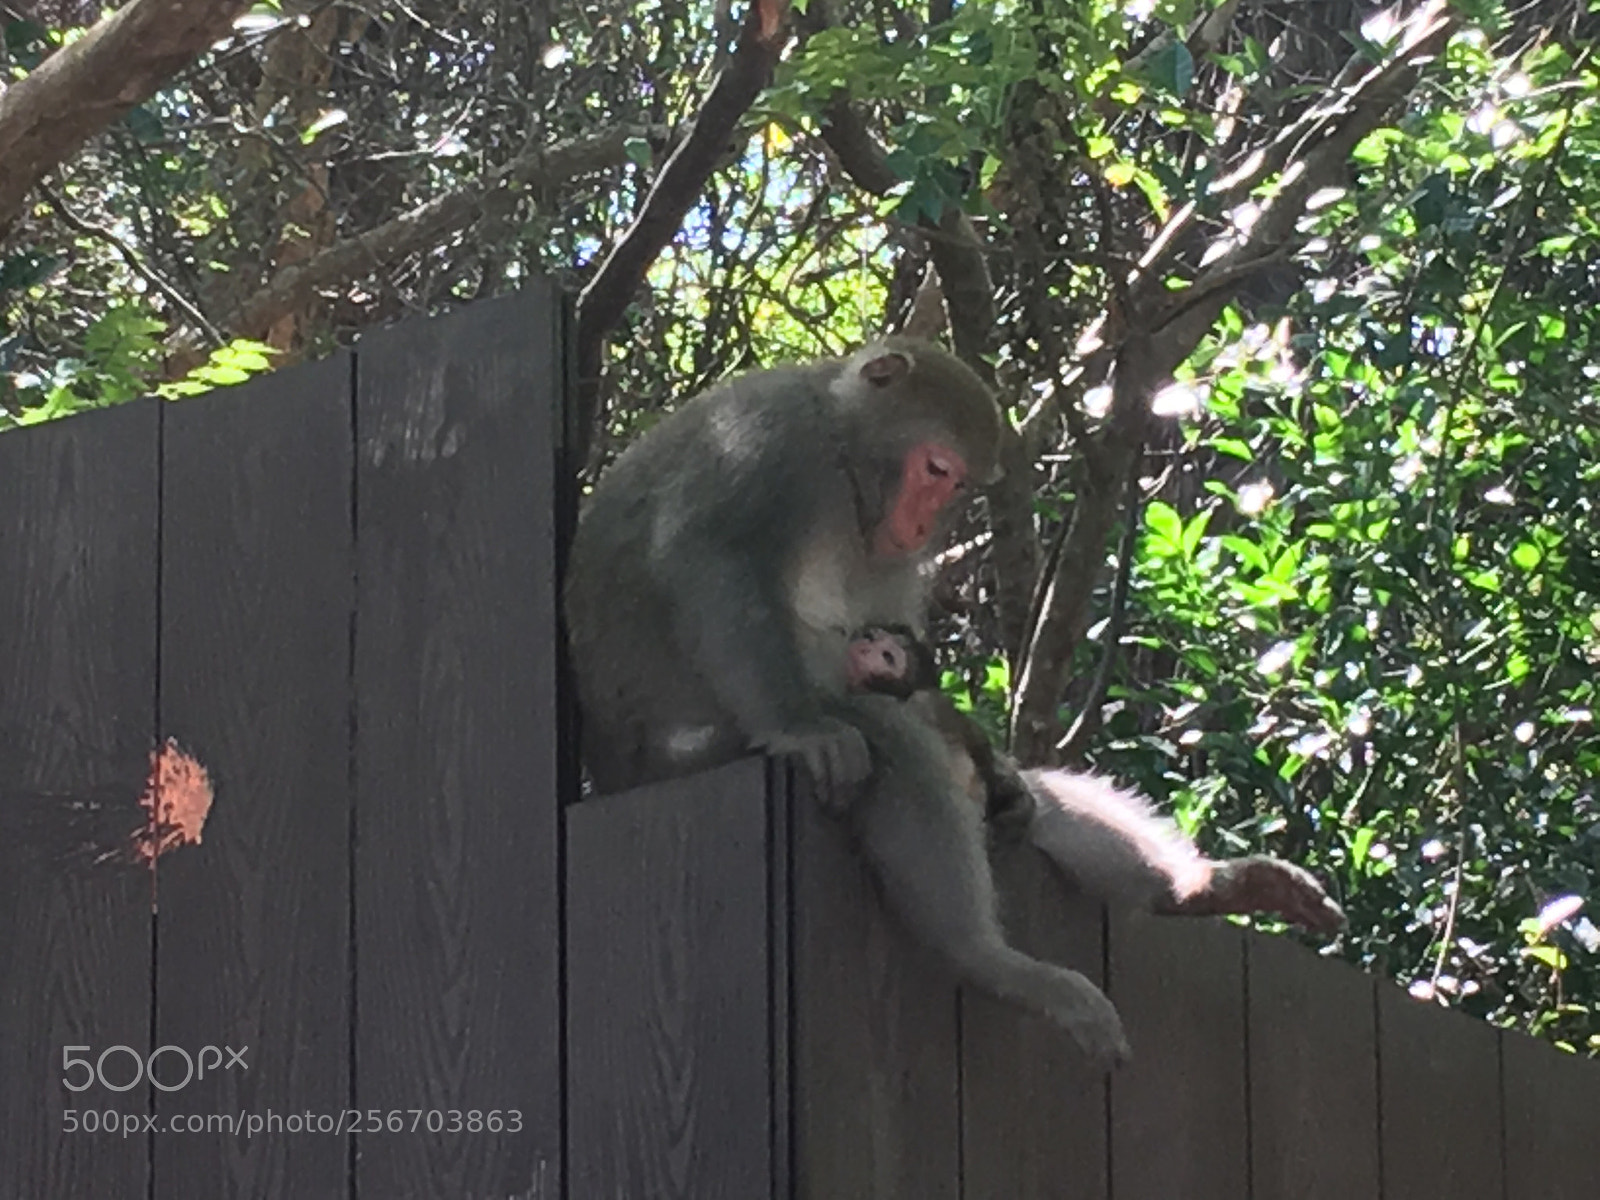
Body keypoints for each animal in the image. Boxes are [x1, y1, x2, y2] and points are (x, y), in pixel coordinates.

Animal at [566, 338, 1133, 1068]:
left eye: (955, 486)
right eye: (936, 468)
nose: (921, 524)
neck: (842, 449)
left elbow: (895, 648)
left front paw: (999, 769)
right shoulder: (768, 444)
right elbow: (709, 554)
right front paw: (800, 726)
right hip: (680, 751)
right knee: (888, 740)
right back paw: (989, 961)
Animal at [844, 623, 1346, 934]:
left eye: (886, 651)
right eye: (873, 641)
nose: (867, 645)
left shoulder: (934, 706)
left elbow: (993, 766)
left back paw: (1202, 887)